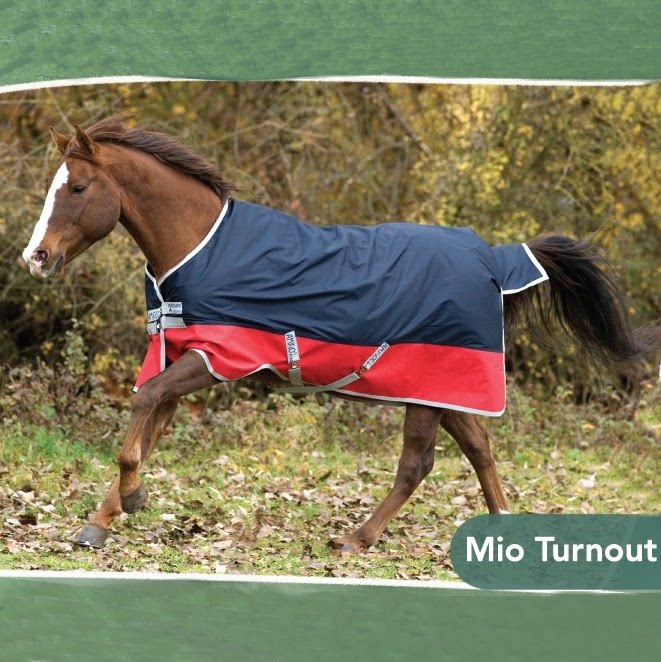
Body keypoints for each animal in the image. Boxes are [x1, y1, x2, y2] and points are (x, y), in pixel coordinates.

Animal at [22, 115, 657, 551]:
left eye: (76, 188)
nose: (36, 257)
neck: (202, 245)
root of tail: (492, 259)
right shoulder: (180, 356)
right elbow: (147, 424)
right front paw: (101, 522)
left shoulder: (216, 359)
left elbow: (142, 409)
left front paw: (130, 499)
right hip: (442, 388)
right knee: (478, 446)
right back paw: (500, 530)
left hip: (426, 383)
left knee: (418, 464)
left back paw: (358, 537)